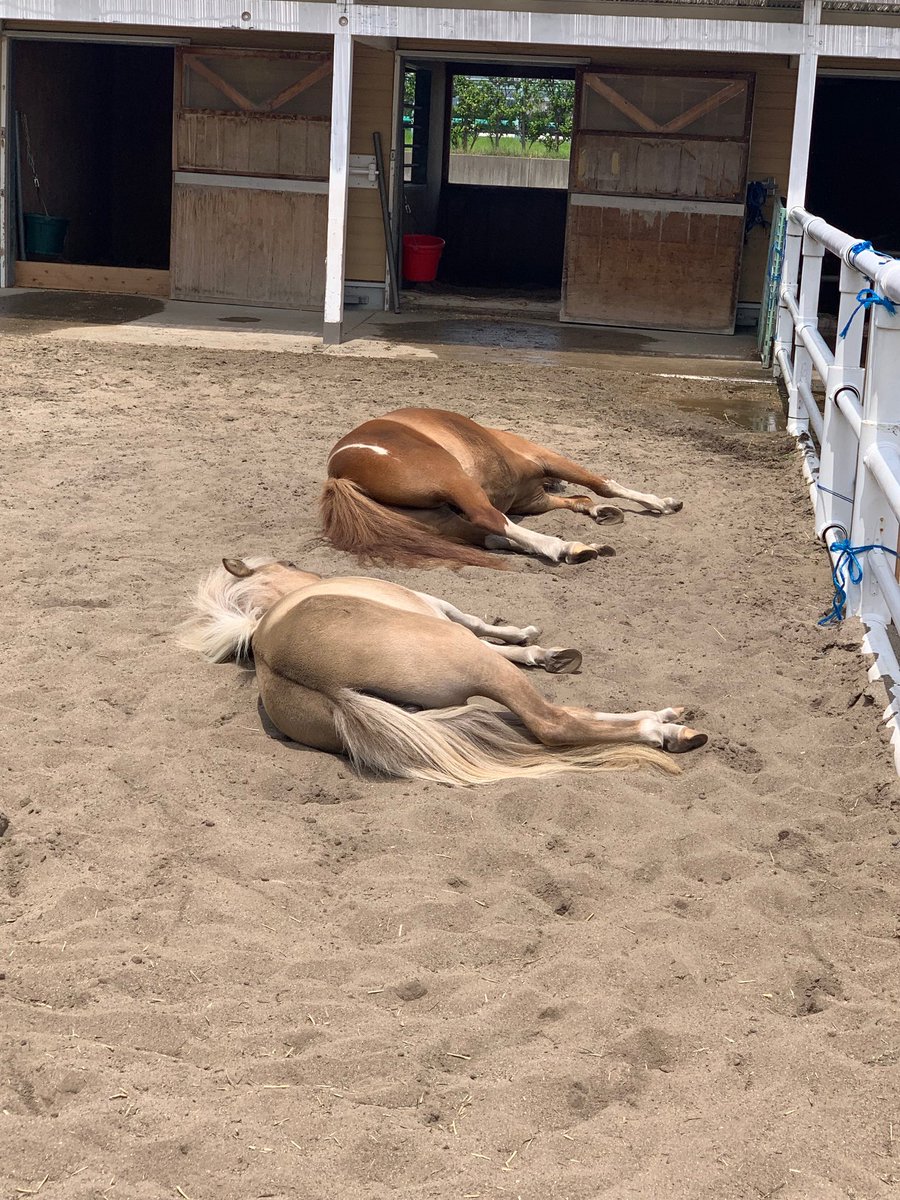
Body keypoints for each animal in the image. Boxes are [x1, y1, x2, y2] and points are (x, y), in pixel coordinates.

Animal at [180, 559, 710, 792]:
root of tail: (329, 687)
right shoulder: (441, 611)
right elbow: (481, 625)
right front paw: (535, 641)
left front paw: (545, 653)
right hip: (472, 661)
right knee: (550, 721)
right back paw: (666, 727)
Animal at [324, 405, 681, 568]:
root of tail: (340, 473)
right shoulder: (546, 459)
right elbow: (601, 484)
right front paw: (661, 503)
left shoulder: (535, 501)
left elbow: (580, 497)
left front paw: (602, 511)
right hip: (454, 479)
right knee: (490, 519)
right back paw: (564, 547)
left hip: (435, 520)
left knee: (489, 535)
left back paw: (578, 548)